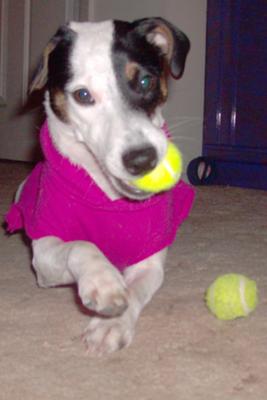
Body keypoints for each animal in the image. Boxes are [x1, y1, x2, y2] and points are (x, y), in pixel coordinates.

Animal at [5, 18, 195, 354]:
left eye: (145, 81)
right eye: (82, 95)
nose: (142, 159)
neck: (110, 199)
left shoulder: (150, 260)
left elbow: (136, 289)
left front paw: (112, 324)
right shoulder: (44, 257)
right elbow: (81, 245)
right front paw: (103, 282)